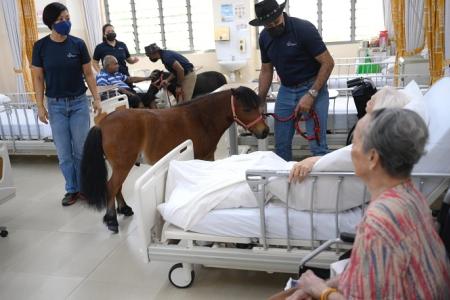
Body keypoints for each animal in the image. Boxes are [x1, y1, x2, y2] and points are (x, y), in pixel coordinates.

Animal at [80, 85, 268, 233]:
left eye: (258, 106)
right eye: (247, 109)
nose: (264, 131)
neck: (201, 118)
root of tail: (103, 124)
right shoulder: (202, 157)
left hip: (121, 165)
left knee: (117, 187)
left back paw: (124, 209)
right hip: (123, 166)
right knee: (111, 187)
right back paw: (111, 219)